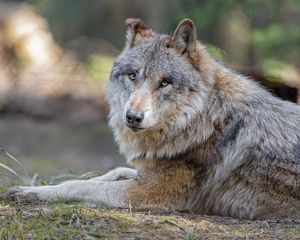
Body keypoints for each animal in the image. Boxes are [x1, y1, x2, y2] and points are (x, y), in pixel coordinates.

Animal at [4, 18, 300, 219]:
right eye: (133, 75)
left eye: (165, 82)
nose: (132, 117)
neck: (204, 119)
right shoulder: (144, 173)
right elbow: (111, 173)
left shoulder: (153, 192)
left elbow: (80, 187)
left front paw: (32, 193)